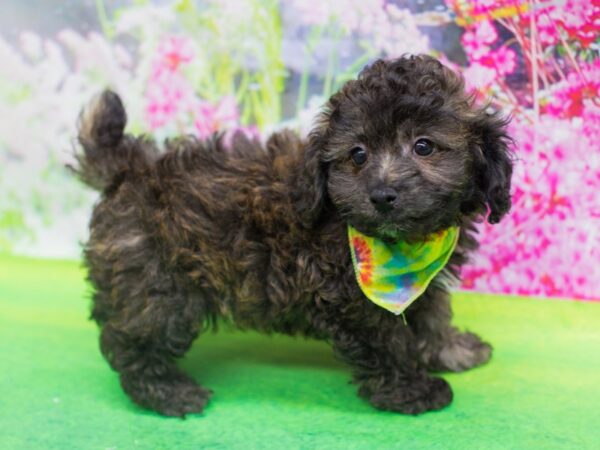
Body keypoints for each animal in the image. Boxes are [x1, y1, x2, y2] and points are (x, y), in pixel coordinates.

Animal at [77, 54, 512, 416]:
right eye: (358, 154)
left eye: (424, 146)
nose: (382, 195)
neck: (398, 247)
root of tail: (130, 166)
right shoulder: (350, 299)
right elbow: (387, 341)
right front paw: (411, 390)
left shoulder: (423, 281)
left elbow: (431, 314)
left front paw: (453, 351)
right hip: (158, 286)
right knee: (132, 342)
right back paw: (167, 392)